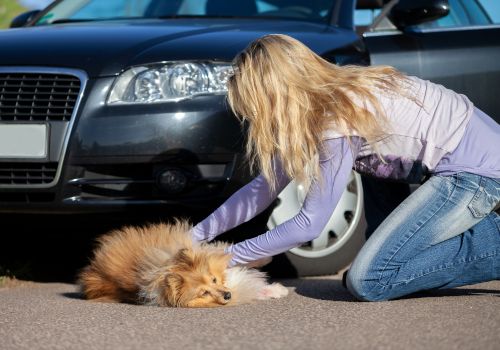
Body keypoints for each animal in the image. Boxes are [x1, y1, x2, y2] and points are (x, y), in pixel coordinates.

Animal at [78, 220, 290, 308]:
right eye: (204, 293)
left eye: (214, 280)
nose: (227, 295)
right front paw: (277, 290)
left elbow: (222, 251)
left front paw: (266, 259)